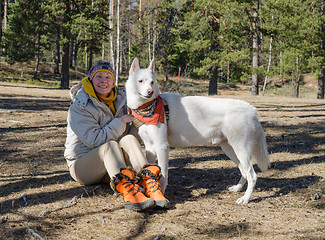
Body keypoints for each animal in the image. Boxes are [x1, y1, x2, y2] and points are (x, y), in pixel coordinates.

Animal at [125, 58, 270, 204]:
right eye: (140, 81)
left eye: (152, 82)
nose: (150, 92)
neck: (147, 108)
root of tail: (251, 109)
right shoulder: (149, 147)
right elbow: (149, 169)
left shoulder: (162, 147)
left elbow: (164, 175)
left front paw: (162, 194)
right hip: (230, 150)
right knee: (244, 171)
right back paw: (237, 188)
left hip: (241, 150)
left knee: (252, 175)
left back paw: (245, 199)